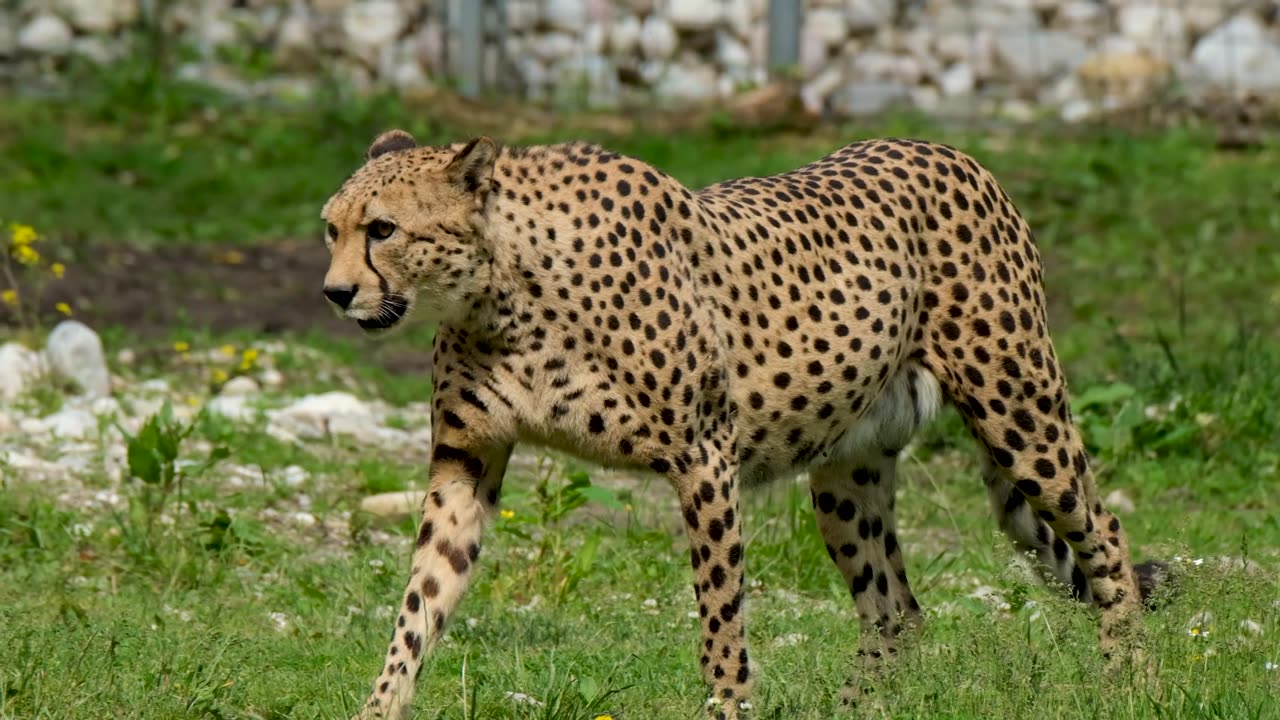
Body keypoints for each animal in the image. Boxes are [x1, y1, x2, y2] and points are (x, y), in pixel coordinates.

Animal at [322, 130, 1172, 717]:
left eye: (383, 230)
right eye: (332, 227)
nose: (334, 293)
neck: (501, 293)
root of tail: (946, 149)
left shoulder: (703, 458)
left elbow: (720, 619)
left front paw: (729, 705)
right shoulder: (465, 459)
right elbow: (421, 602)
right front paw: (379, 705)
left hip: (1018, 408)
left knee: (1105, 532)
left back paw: (1128, 677)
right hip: (847, 471)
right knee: (896, 610)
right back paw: (851, 709)